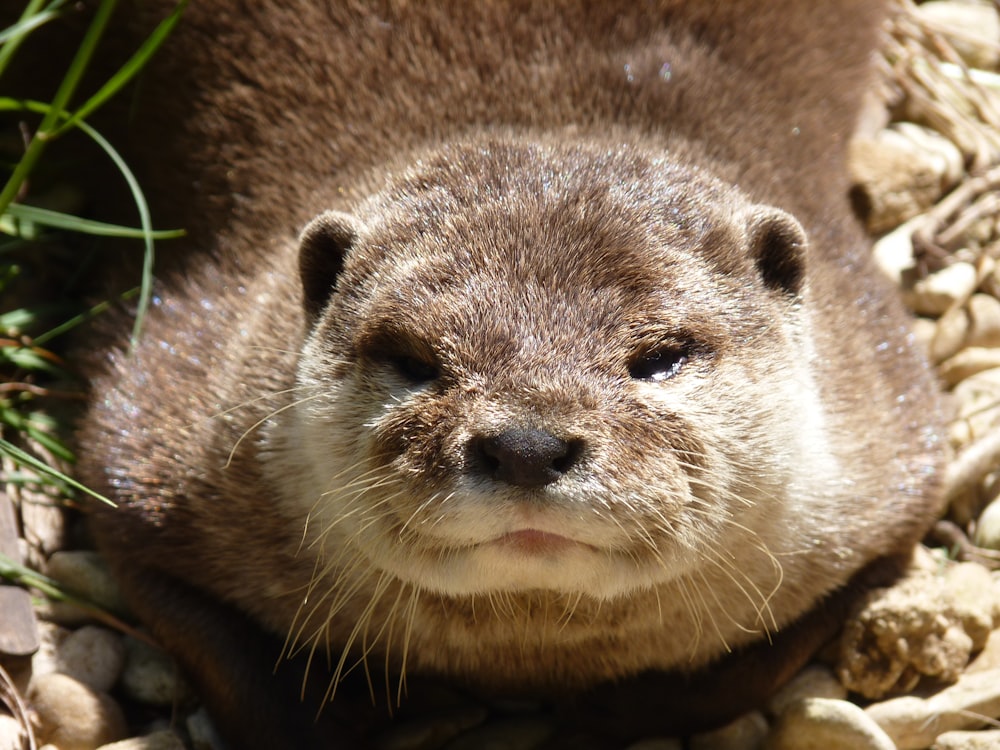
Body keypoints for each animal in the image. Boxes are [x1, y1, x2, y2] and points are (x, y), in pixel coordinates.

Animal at [76, 2, 944, 748]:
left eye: (660, 356)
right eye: (415, 359)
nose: (527, 446)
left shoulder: (888, 464)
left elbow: (753, 663)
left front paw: (609, 714)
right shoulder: (156, 428)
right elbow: (224, 657)